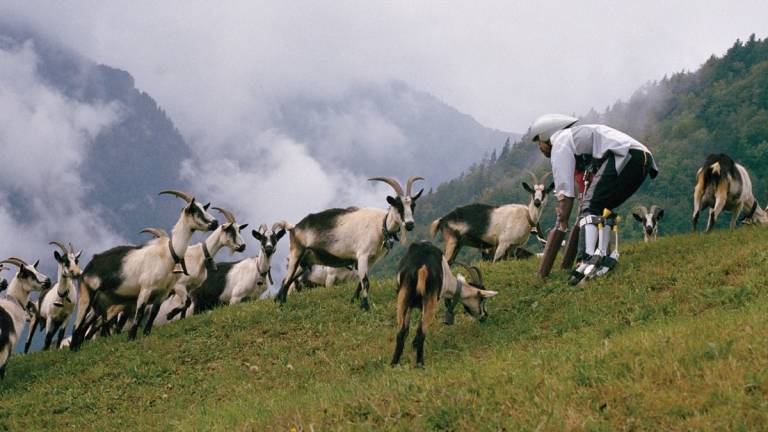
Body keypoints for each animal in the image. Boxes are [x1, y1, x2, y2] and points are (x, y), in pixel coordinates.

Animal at [70, 190, 218, 352]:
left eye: (204, 208)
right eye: (195, 210)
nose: (215, 223)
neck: (167, 254)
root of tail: (88, 267)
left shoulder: (162, 293)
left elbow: (154, 314)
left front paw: (152, 329)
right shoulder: (146, 289)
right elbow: (140, 313)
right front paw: (131, 338)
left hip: (102, 301)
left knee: (87, 324)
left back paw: (79, 346)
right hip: (87, 294)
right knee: (78, 325)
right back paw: (73, 349)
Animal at [428, 170, 556, 262]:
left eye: (545, 191)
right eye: (532, 191)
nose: (537, 202)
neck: (526, 216)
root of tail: (443, 219)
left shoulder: (513, 246)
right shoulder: (502, 244)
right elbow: (496, 262)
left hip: (458, 244)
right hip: (452, 241)